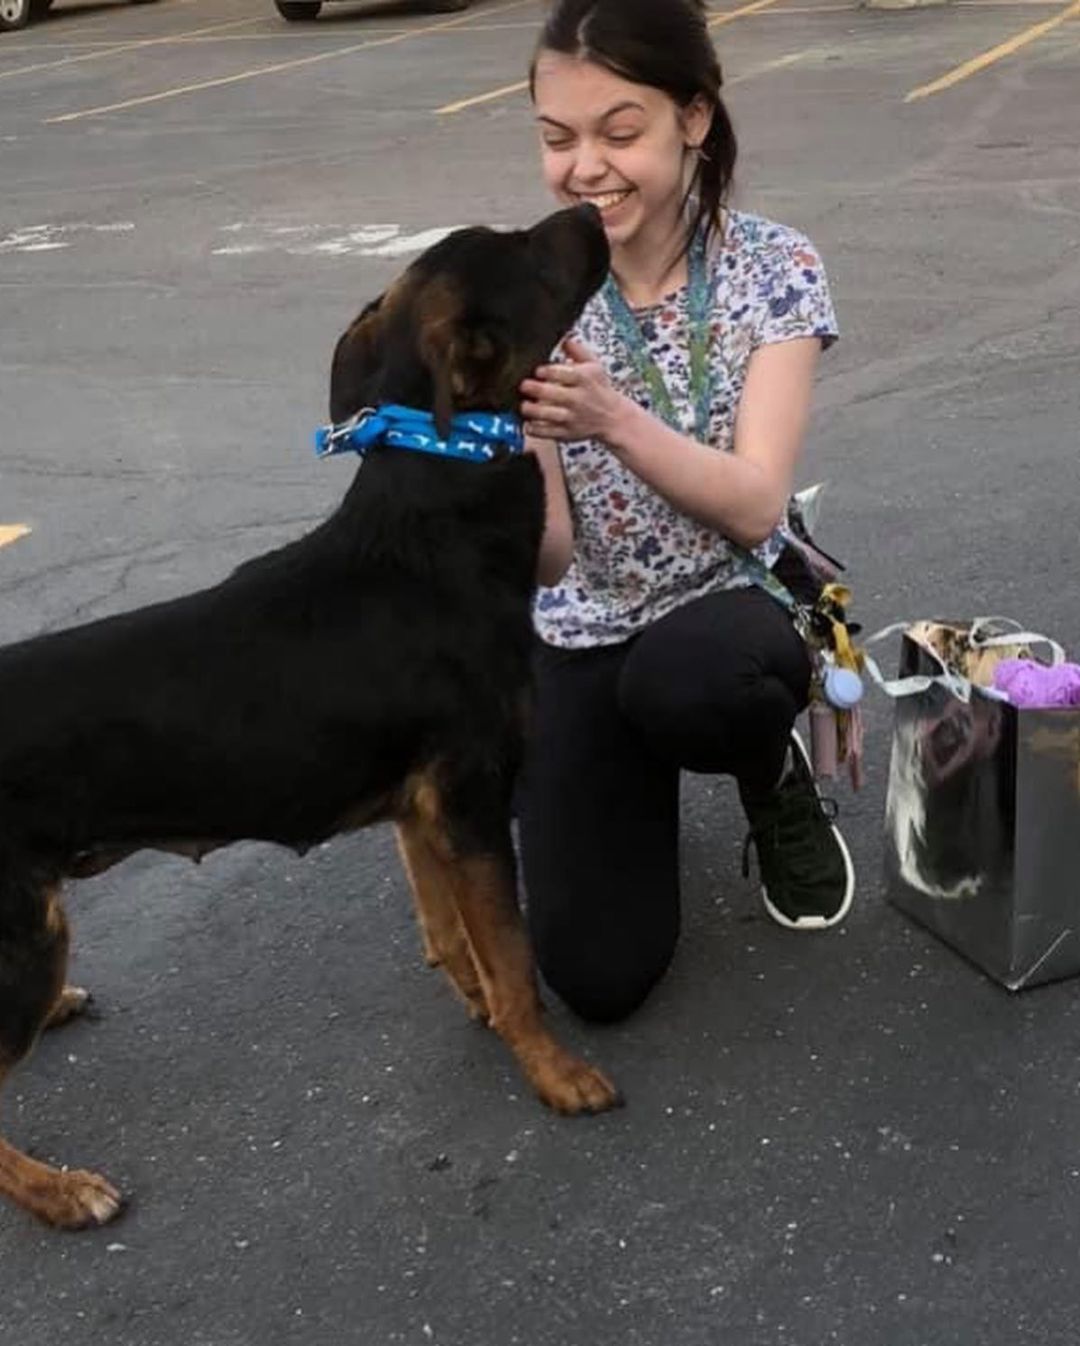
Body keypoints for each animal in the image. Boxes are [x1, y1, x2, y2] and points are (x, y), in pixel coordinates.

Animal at [0, 201, 619, 1232]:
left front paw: (482, 1009)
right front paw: (554, 1073)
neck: (435, 511)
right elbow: (514, 956)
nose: (591, 204)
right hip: (23, 929)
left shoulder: (422, 812)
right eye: (529, 251)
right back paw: (57, 1191)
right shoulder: (474, 799)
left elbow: (455, 939)